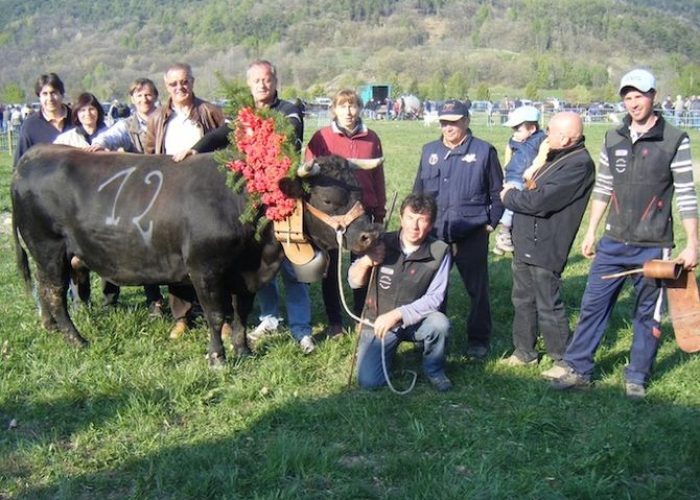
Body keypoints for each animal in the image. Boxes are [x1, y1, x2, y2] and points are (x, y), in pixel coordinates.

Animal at [10, 143, 380, 366]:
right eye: (329, 199)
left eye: (360, 192)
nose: (369, 235)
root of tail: (33, 155)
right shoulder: (204, 269)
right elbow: (216, 316)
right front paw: (217, 357)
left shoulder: (245, 274)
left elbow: (240, 313)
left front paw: (243, 350)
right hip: (49, 249)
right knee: (55, 293)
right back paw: (76, 340)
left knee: (46, 291)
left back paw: (51, 328)